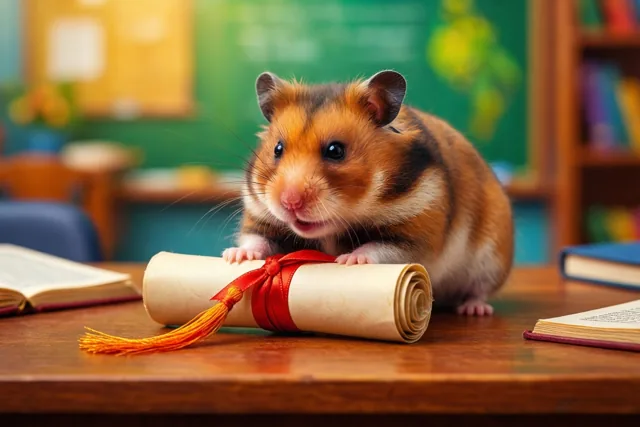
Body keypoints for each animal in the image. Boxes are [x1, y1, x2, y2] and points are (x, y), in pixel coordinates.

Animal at [222, 70, 514, 316]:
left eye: (336, 151)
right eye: (277, 149)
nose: (289, 202)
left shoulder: (416, 233)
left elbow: (379, 248)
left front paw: (348, 259)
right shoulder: (260, 214)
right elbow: (256, 239)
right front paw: (233, 256)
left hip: (492, 258)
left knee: (478, 289)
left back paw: (474, 310)